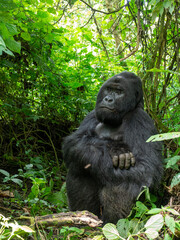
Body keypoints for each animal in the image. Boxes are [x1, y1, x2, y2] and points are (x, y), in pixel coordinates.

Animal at [62, 72, 163, 224]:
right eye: (109, 89)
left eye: (119, 92)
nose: (108, 99)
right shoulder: (92, 114)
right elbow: (75, 141)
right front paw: (115, 149)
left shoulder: (141, 119)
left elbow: (147, 167)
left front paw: (117, 151)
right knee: (80, 163)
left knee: (123, 180)